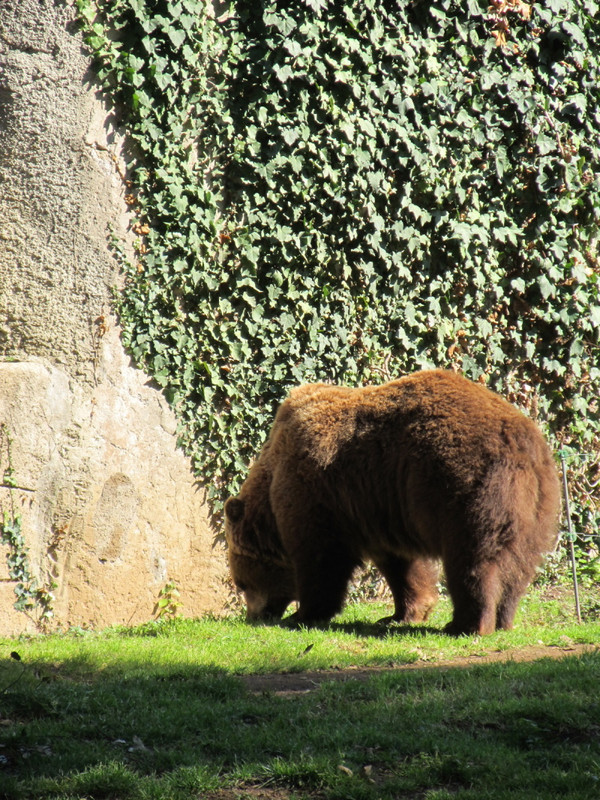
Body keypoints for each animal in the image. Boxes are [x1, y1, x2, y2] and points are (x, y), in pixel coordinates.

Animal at [225, 370, 564, 636]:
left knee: (474, 559)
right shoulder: (380, 508)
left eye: (241, 583)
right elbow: (403, 565)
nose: (254, 616)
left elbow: (321, 557)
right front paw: (401, 614)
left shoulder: (316, 492)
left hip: (465, 489)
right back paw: (504, 619)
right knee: (519, 564)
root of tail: (521, 445)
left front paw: (303, 614)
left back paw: (466, 624)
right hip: (539, 505)